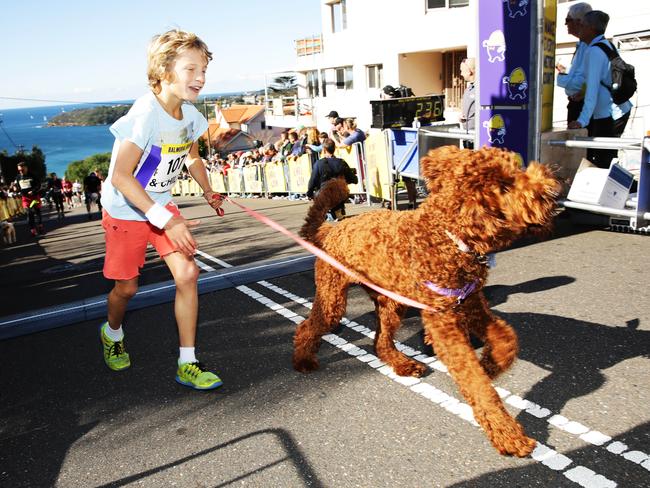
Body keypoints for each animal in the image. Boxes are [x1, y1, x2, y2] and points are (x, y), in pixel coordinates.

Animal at [292, 146, 556, 458]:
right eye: (504, 186)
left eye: (516, 170)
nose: (550, 189)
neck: (447, 236)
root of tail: (328, 232)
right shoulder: (445, 324)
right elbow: (476, 383)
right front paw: (508, 434)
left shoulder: (471, 303)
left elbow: (506, 339)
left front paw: (491, 364)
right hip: (333, 298)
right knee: (307, 326)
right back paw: (303, 360)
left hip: (392, 301)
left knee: (381, 341)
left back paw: (403, 364)